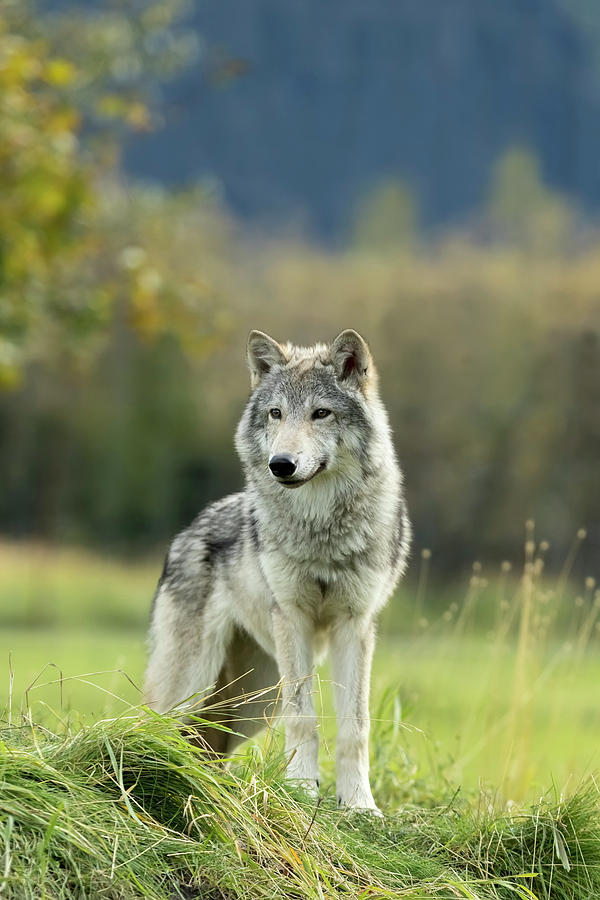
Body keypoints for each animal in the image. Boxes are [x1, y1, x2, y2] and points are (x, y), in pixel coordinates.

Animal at [143, 330, 410, 816]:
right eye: (276, 413)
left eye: (321, 413)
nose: (281, 464)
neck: (320, 530)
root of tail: (186, 530)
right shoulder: (293, 619)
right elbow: (304, 718)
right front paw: (302, 790)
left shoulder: (355, 625)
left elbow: (354, 726)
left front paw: (360, 805)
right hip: (194, 684)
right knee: (156, 725)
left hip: (253, 702)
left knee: (208, 745)